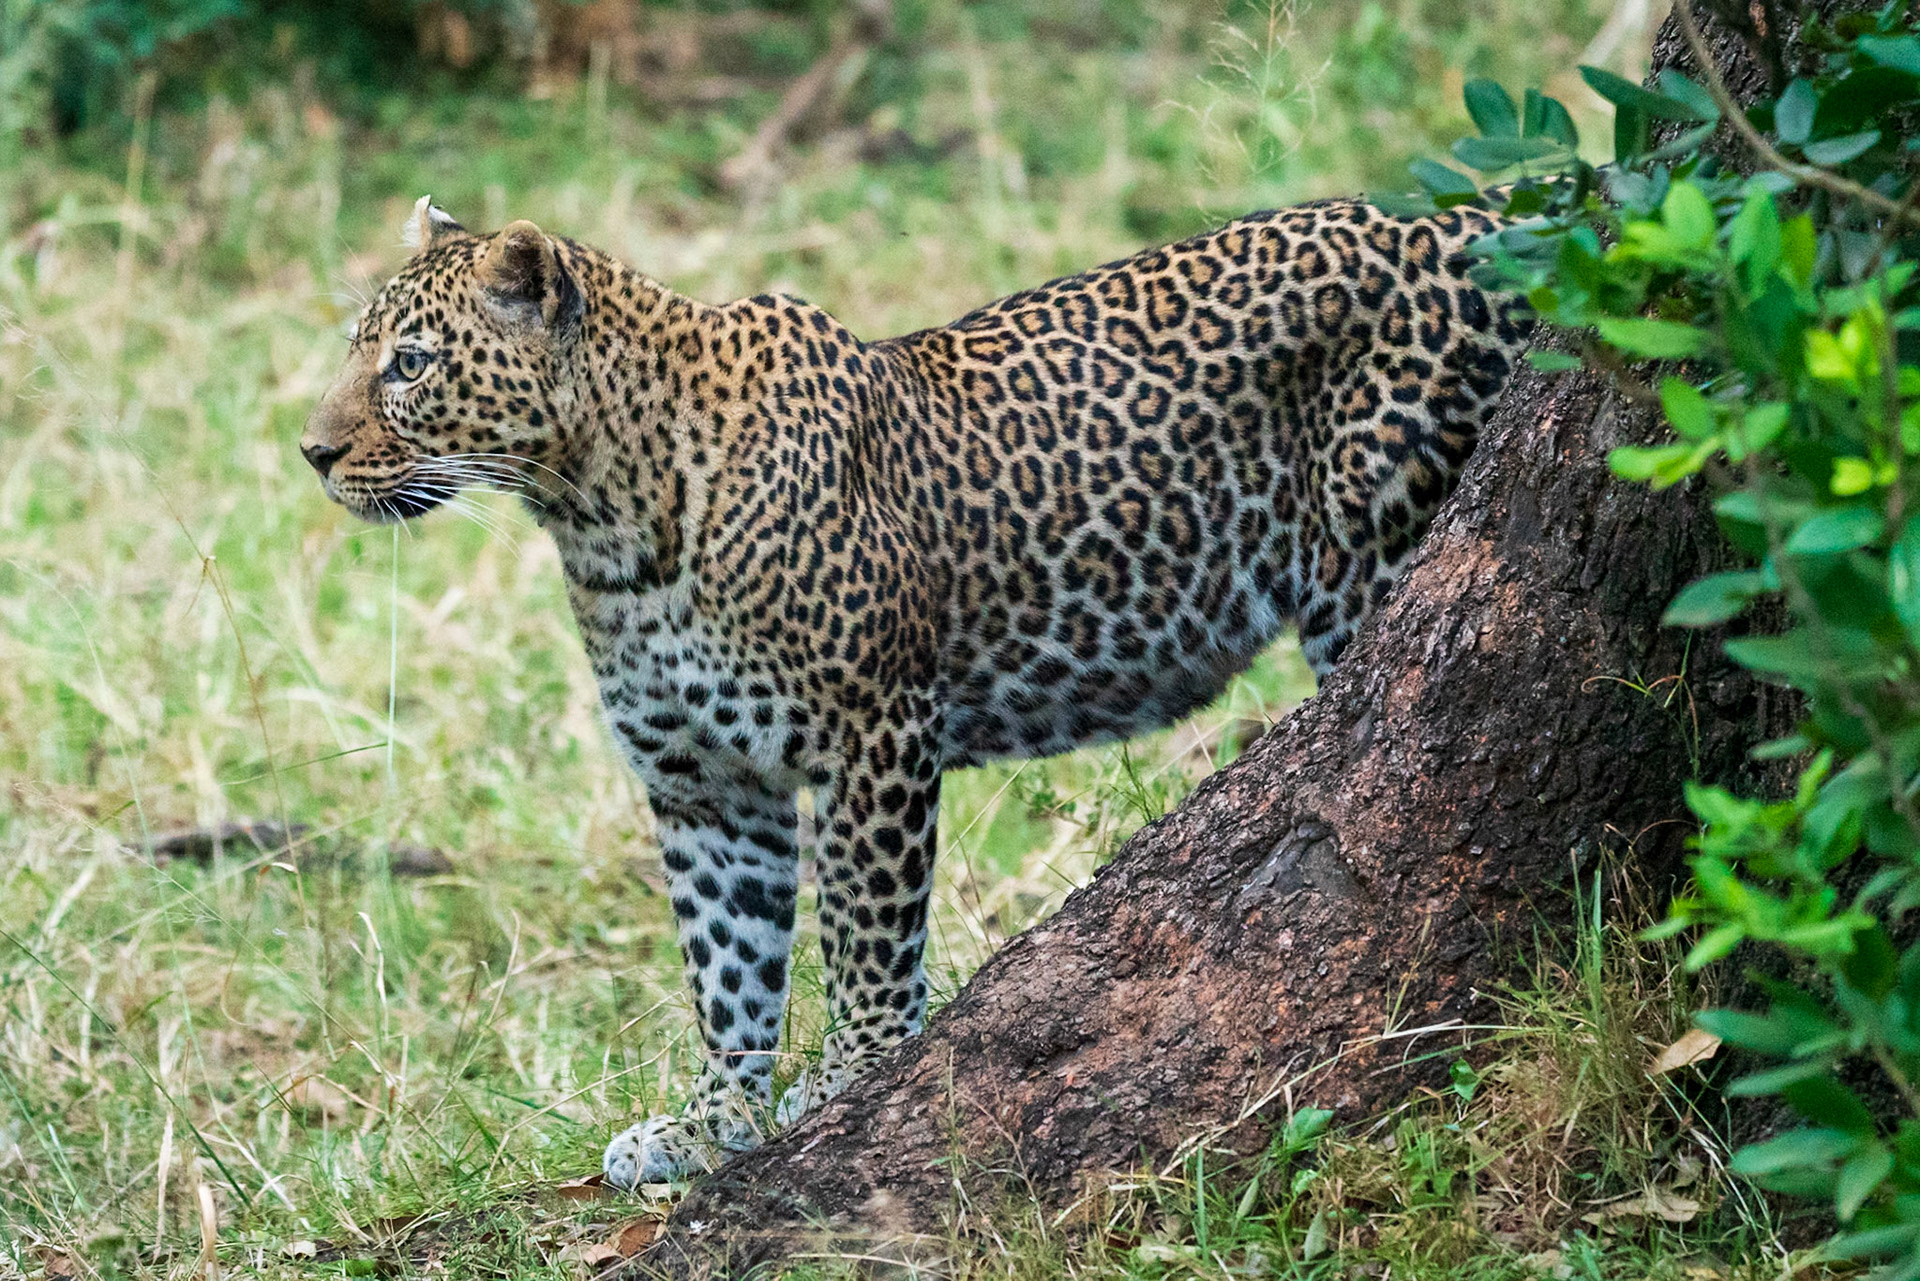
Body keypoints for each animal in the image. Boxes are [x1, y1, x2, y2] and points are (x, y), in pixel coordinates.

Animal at [301, 192, 1529, 1189]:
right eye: (363, 352)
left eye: (410, 363)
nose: (311, 452)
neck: (606, 516)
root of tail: (1470, 218)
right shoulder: (705, 787)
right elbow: (727, 962)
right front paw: (711, 1122)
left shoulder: (872, 735)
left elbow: (866, 929)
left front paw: (855, 1075)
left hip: (1377, 559)